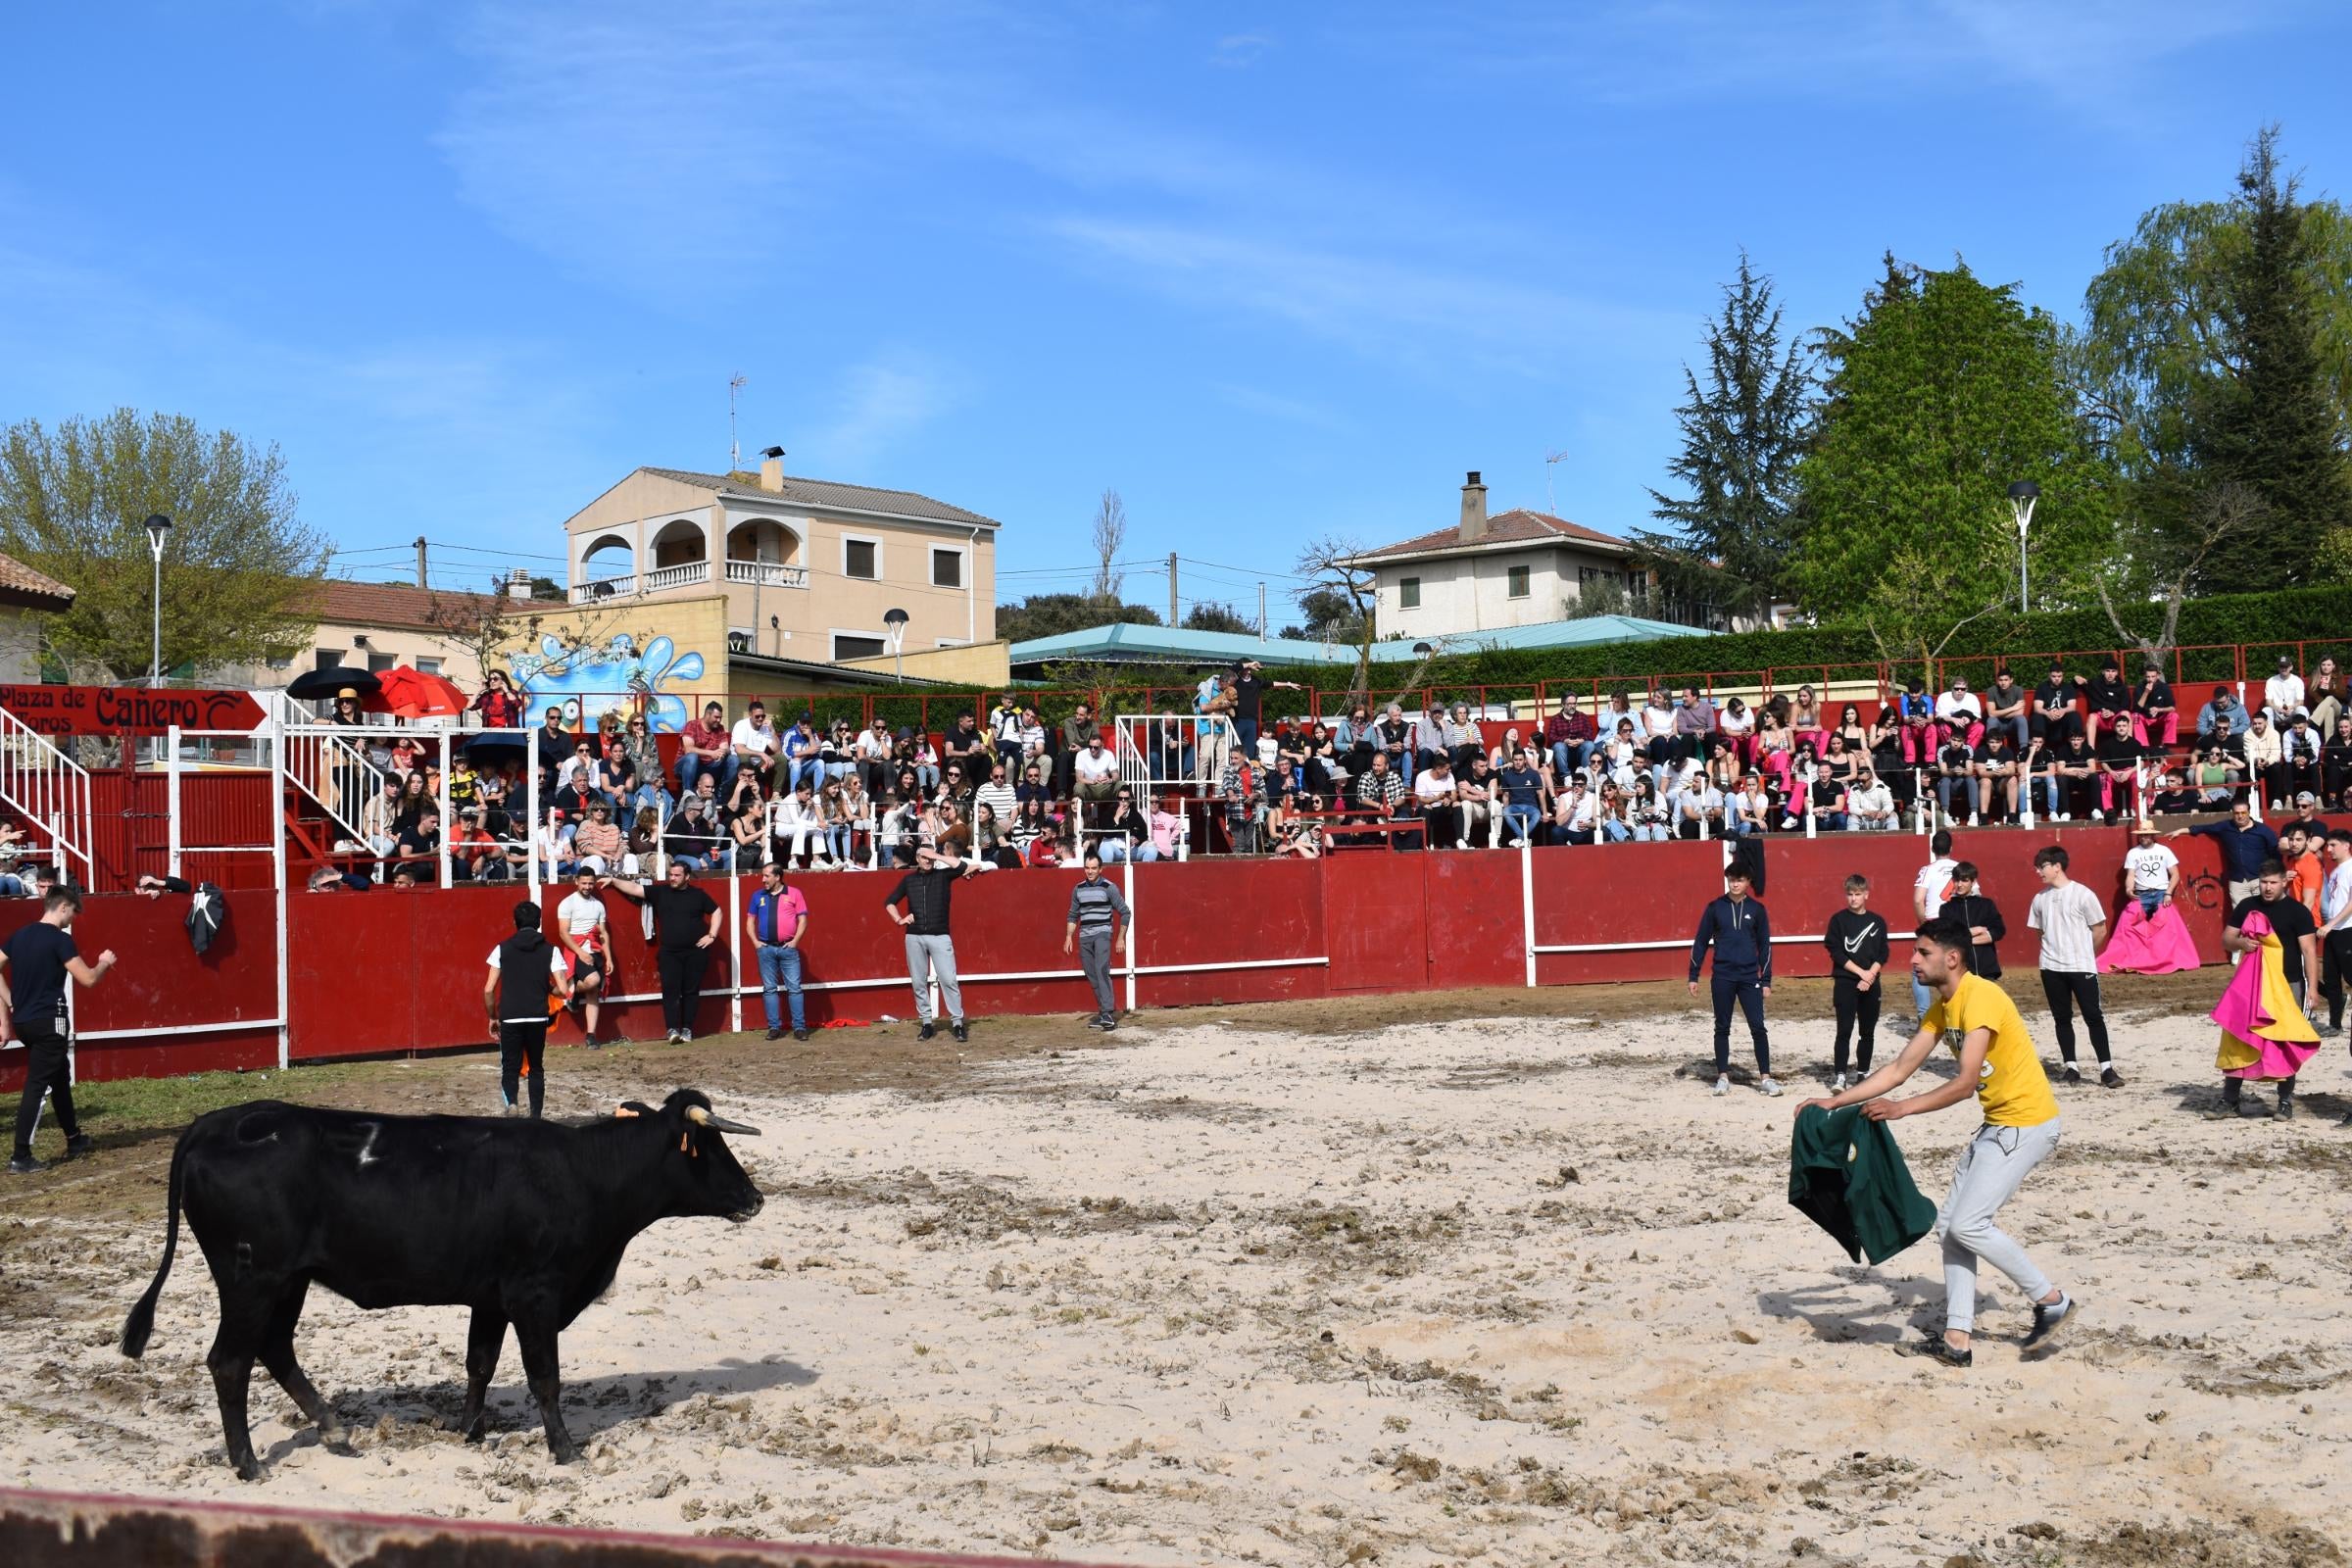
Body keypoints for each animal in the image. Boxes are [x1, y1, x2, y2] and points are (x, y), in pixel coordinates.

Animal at [119, 1086, 761, 1476]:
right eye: (710, 1146)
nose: (755, 1198)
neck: (582, 1173)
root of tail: (217, 1124)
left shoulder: (491, 1297)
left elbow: (480, 1363)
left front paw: (470, 1432)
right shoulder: (535, 1293)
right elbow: (545, 1377)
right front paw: (564, 1449)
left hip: (289, 1282)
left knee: (274, 1349)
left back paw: (333, 1431)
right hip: (252, 1279)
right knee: (230, 1361)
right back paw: (249, 1463)